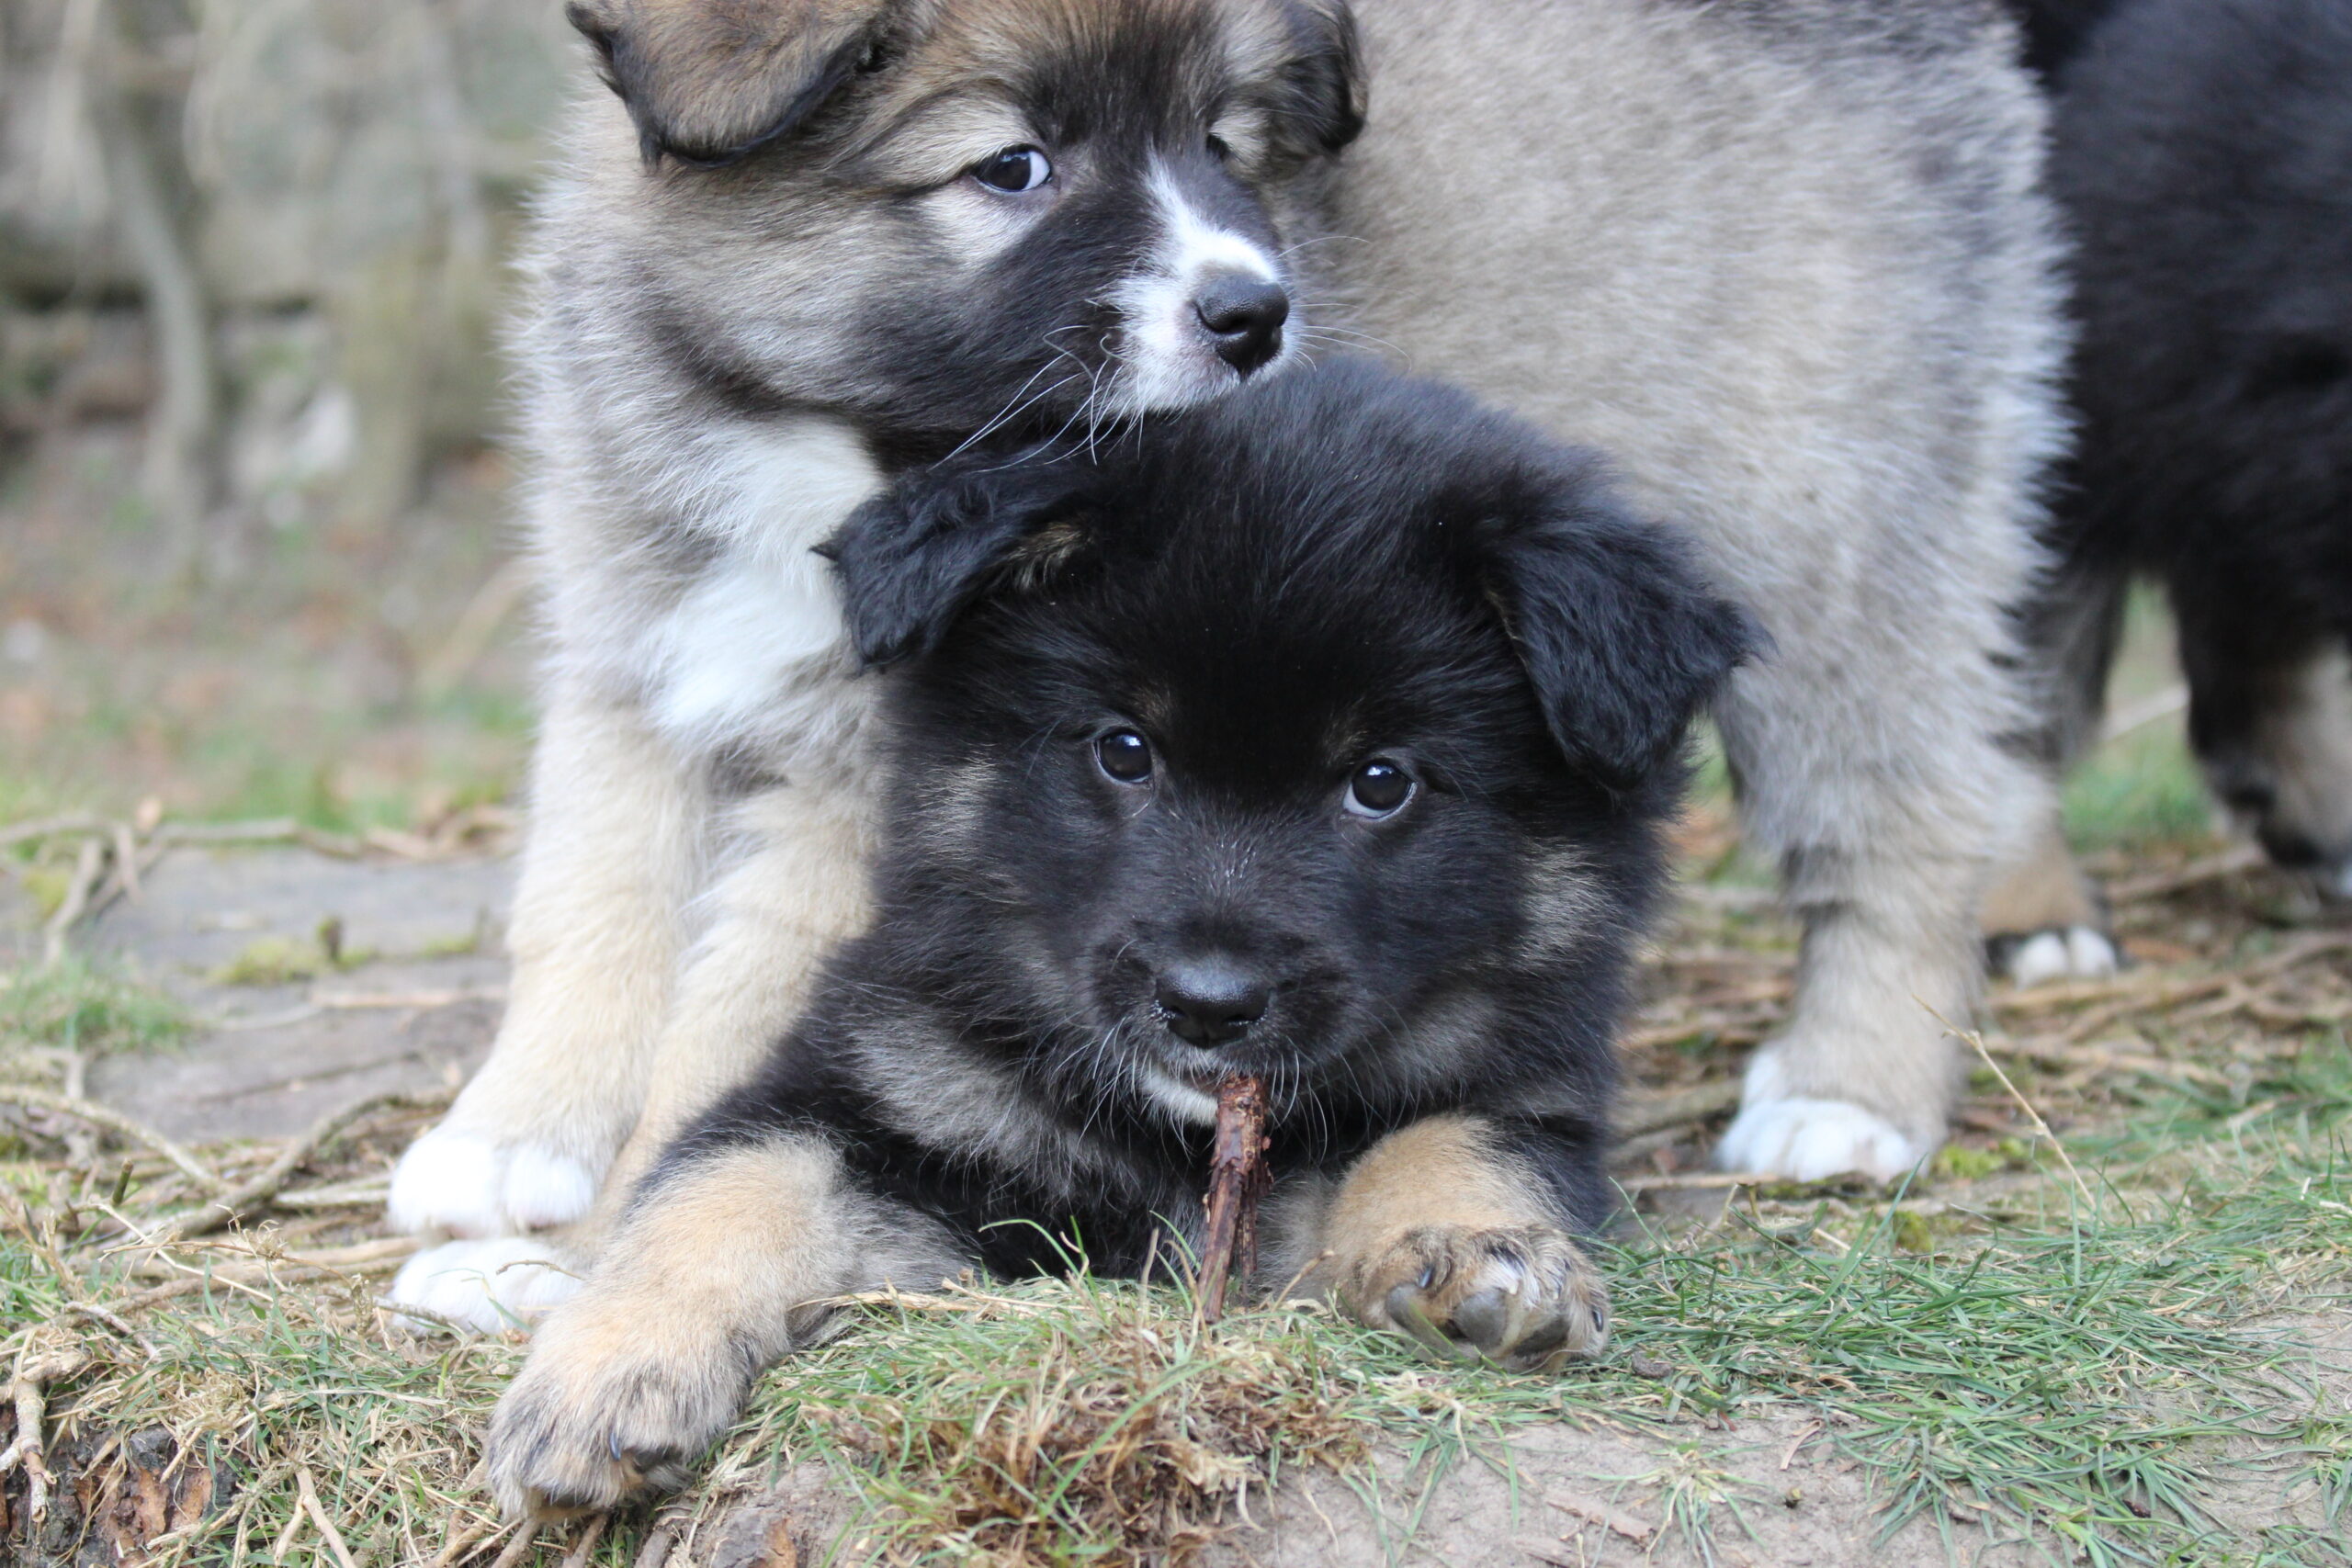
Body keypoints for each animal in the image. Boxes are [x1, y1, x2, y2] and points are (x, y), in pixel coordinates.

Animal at [388, 0, 2071, 1329]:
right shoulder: (633, 659)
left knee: (1915, 805)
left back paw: (1850, 1091)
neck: (825, 443)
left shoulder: (874, 783)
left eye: (1220, 142)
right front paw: (514, 1141)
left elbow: (731, 1025)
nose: (1259, 312)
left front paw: (586, 1257)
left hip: (1829, 527)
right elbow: (590, 910)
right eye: (1014, 168)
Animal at [479, 360, 1752, 1516]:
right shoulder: (882, 1088)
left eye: (1382, 782)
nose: (1205, 1003)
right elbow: (729, 1177)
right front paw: (608, 1371)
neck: (1174, 1143)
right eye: (1124, 750)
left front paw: (1480, 1251)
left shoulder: (1530, 1092)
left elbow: (1455, 1137)